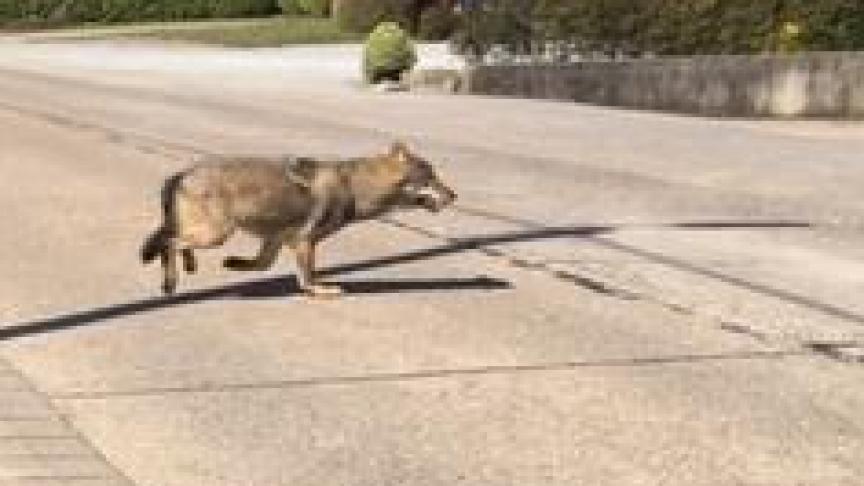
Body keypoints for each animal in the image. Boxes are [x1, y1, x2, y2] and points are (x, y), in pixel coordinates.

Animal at [140, 142, 457, 297]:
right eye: (431, 179)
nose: (454, 195)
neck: (354, 186)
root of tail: (181, 173)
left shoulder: (277, 240)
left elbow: (261, 265)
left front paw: (235, 264)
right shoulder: (305, 241)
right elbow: (307, 278)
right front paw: (320, 290)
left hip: (212, 234)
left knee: (174, 241)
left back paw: (187, 266)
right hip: (217, 234)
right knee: (170, 242)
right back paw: (171, 281)